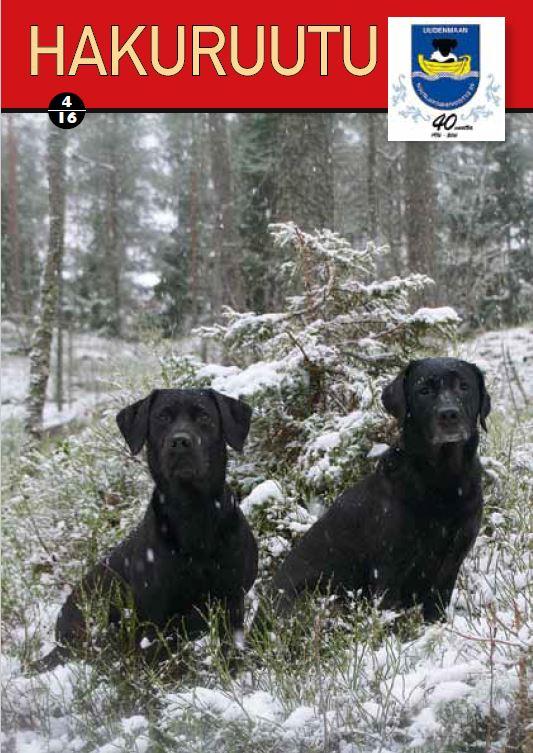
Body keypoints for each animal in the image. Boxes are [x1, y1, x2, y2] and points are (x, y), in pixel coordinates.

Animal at [33, 388, 258, 670]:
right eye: (162, 417)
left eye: (204, 416)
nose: (180, 441)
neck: (193, 514)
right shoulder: (156, 621)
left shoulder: (232, 602)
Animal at [264, 358, 490, 623]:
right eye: (423, 391)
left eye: (464, 386)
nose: (449, 414)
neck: (443, 479)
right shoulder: (388, 568)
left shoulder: (451, 564)